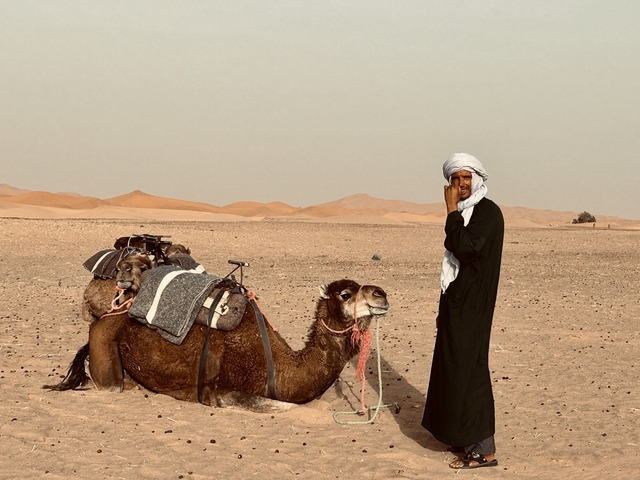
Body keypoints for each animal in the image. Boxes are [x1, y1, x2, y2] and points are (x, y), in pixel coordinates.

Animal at [47, 279, 389, 412]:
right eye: (345, 294)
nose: (381, 294)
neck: (279, 367)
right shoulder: (225, 393)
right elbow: (286, 408)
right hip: (106, 351)